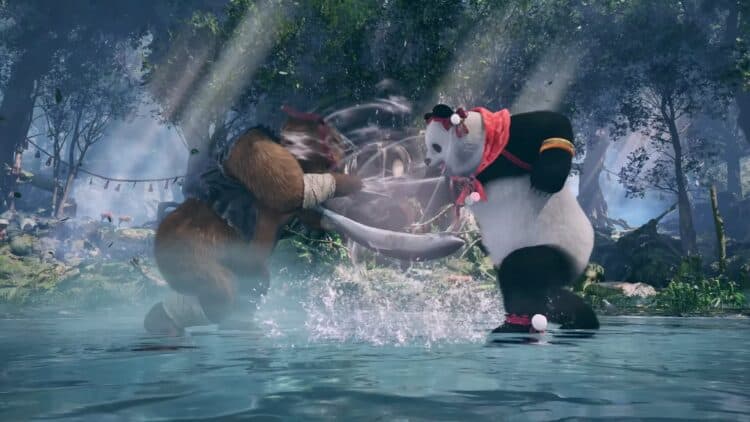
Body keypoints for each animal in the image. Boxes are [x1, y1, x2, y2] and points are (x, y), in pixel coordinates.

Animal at [422, 104, 598, 332]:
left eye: (435, 146)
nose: (426, 160)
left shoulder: (504, 141)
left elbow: (549, 122)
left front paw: (545, 179)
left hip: (554, 247)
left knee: (520, 274)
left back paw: (580, 319)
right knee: (529, 291)